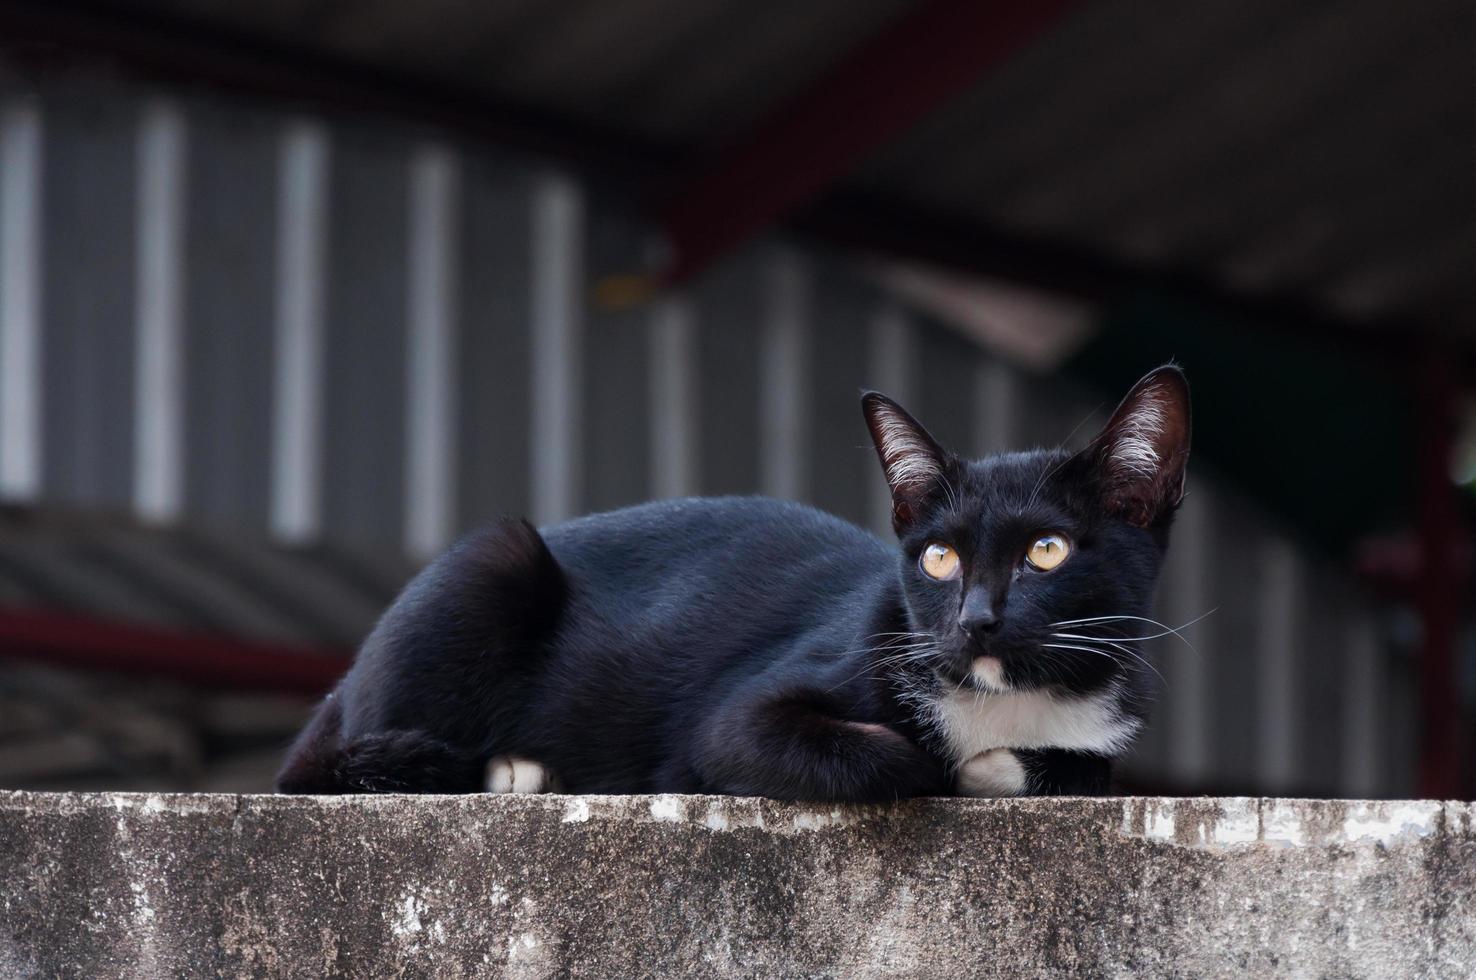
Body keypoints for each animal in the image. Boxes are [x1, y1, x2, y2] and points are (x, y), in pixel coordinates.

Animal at [281, 363, 1192, 802]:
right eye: (939, 558)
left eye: (1048, 550)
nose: (975, 621)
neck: (1005, 698)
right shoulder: (738, 718)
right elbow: (875, 756)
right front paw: (951, 767)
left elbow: (1090, 769)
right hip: (490, 565)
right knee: (311, 772)